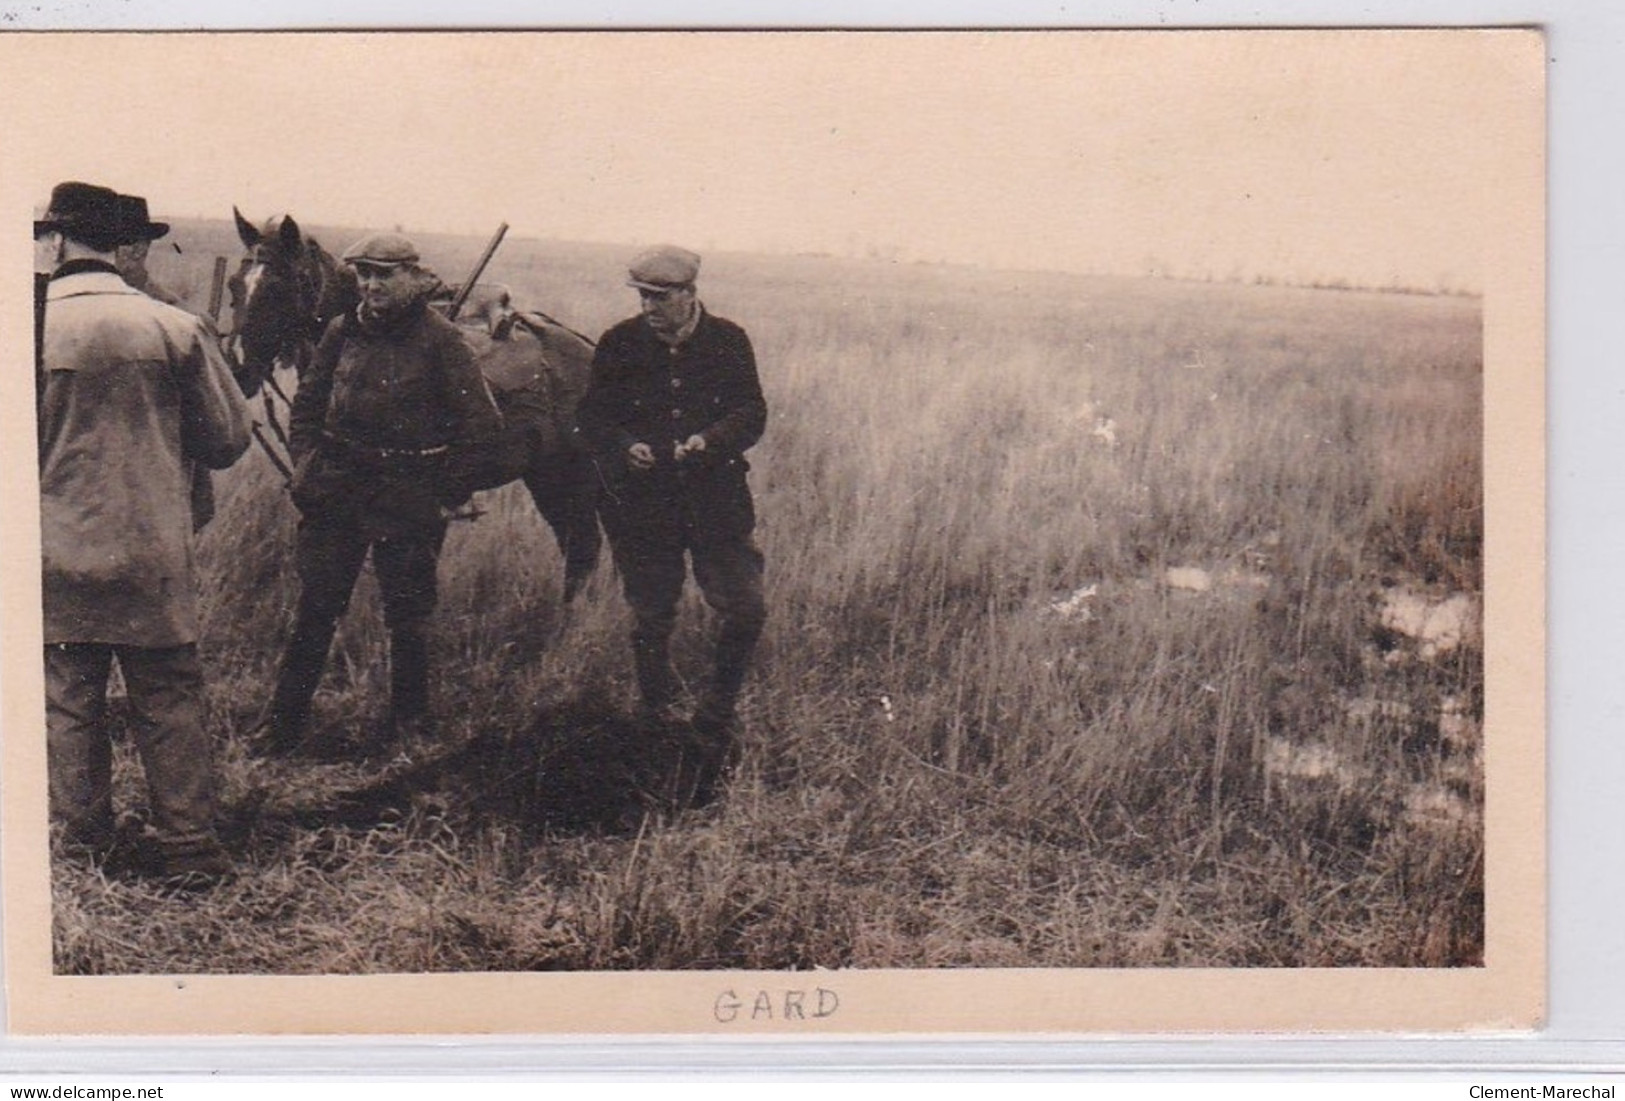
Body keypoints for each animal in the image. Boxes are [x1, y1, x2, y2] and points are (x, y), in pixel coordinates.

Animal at [229, 209, 604, 600]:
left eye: (279, 287)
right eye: (233, 286)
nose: (237, 366)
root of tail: (589, 348)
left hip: (573, 475)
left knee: (583, 553)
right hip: (546, 476)